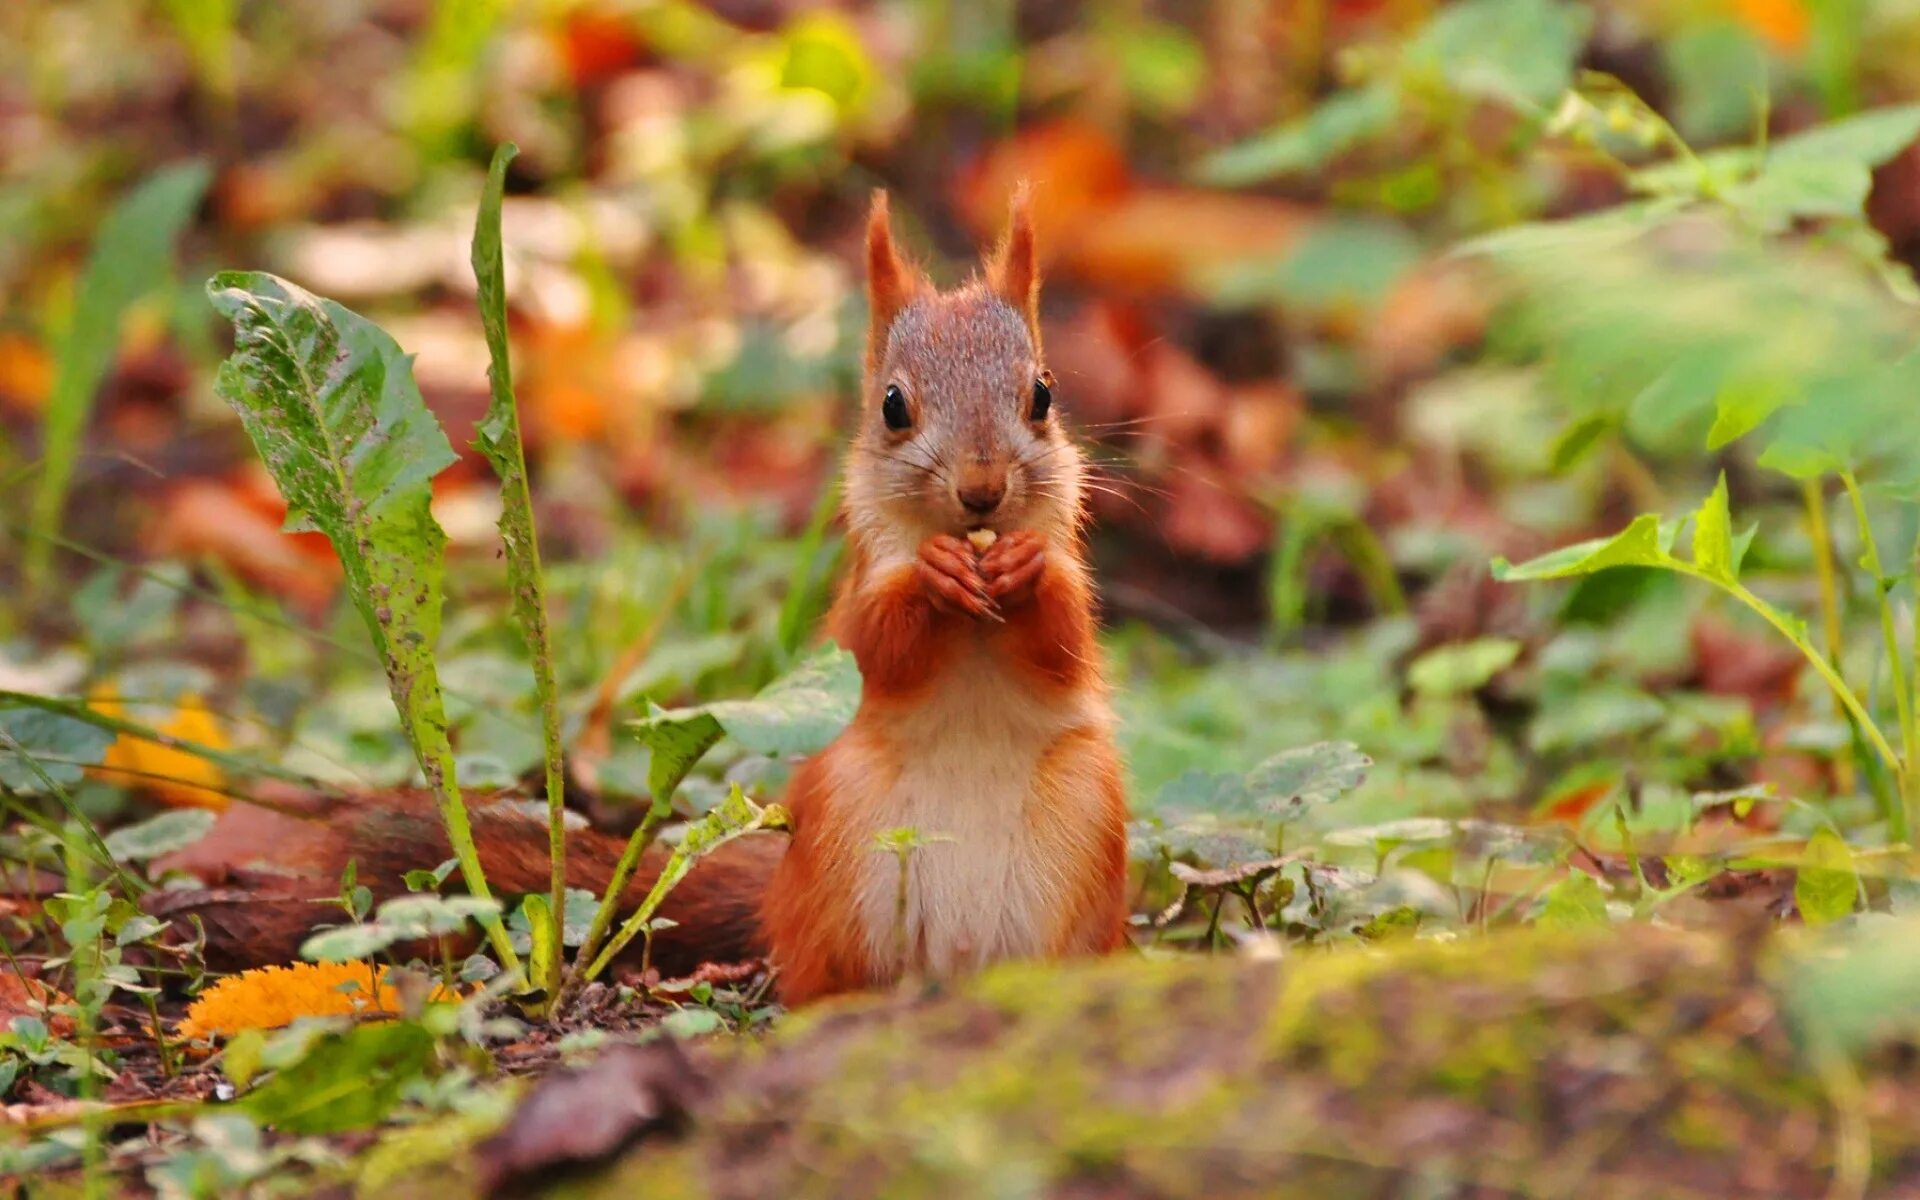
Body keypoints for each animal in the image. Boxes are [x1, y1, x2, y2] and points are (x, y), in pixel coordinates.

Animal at [165, 187, 1128, 998]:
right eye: (893, 406)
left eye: (1043, 395)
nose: (982, 490)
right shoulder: (854, 603)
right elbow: (875, 646)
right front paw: (933, 581)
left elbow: (1065, 640)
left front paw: (1026, 572)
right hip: (845, 841)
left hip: (1084, 833)